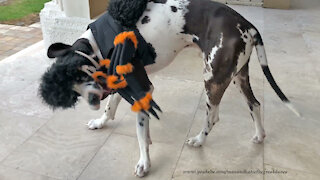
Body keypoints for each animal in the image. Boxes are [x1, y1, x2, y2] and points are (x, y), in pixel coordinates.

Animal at [40, 0, 300, 177]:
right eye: (73, 91)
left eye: (84, 77)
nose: (93, 101)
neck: (96, 45)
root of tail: (247, 24)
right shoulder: (124, 85)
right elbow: (112, 106)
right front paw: (101, 122)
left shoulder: (142, 89)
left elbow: (140, 133)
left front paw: (144, 163)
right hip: (237, 76)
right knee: (254, 105)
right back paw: (259, 135)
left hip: (213, 79)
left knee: (213, 116)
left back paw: (199, 140)